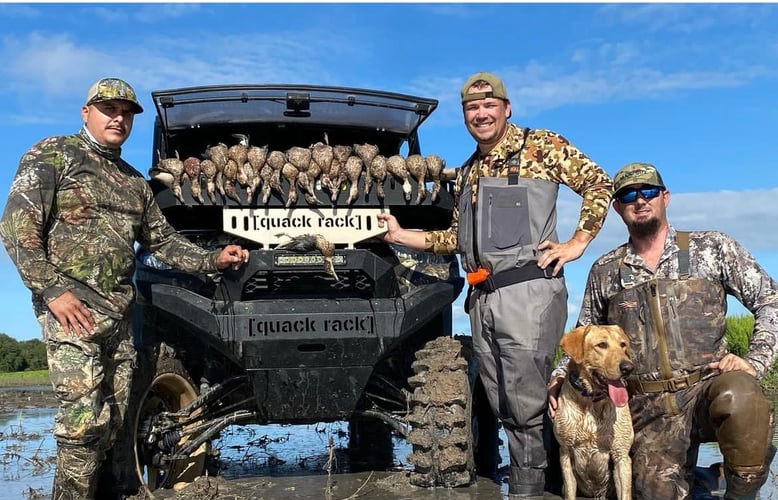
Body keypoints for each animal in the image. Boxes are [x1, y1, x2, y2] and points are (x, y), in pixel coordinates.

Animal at [548, 324, 632, 500]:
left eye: (622, 345)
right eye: (602, 345)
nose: (628, 368)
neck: (591, 403)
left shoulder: (621, 456)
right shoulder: (566, 452)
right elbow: (570, 492)